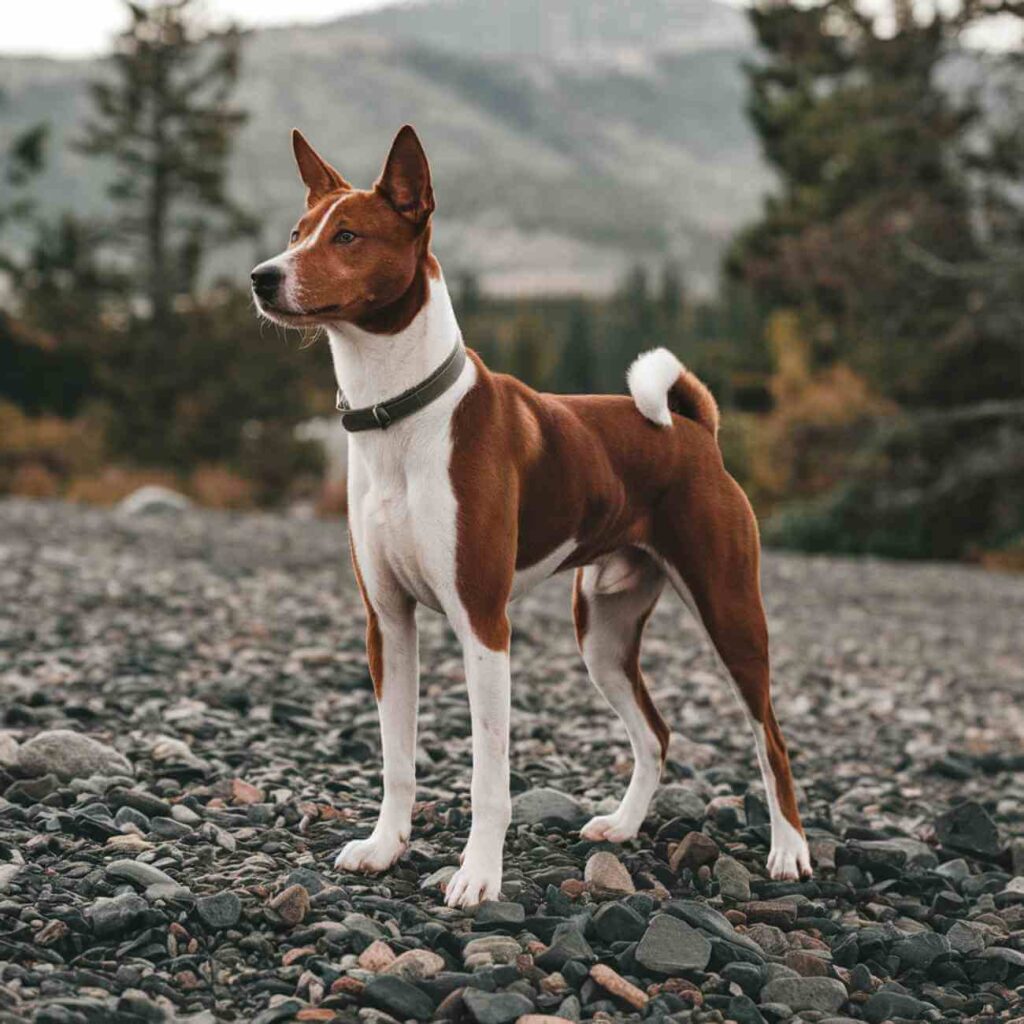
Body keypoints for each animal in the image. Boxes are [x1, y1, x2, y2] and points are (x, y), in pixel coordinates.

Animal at [251, 125, 811, 905]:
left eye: (349, 236)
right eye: (296, 233)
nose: (261, 277)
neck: (398, 415)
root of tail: (694, 430)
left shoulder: (484, 625)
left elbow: (489, 779)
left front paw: (479, 875)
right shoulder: (387, 623)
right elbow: (397, 761)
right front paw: (385, 848)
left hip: (730, 614)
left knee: (771, 742)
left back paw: (789, 850)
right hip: (602, 634)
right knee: (655, 732)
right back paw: (623, 826)